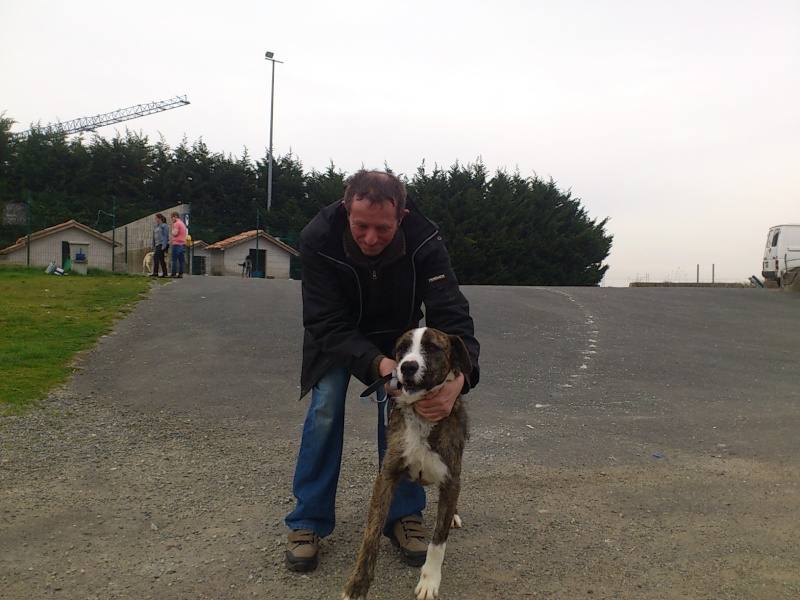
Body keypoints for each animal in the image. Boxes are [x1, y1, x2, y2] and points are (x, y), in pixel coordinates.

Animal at [342, 328, 468, 600]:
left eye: (431, 348)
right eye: (402, 348)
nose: (407, 366)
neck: (421, 415)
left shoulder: (450, 479)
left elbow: (438, 540)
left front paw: (429, 581)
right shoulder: (386, 476)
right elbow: (371, 534)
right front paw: (357, 584)